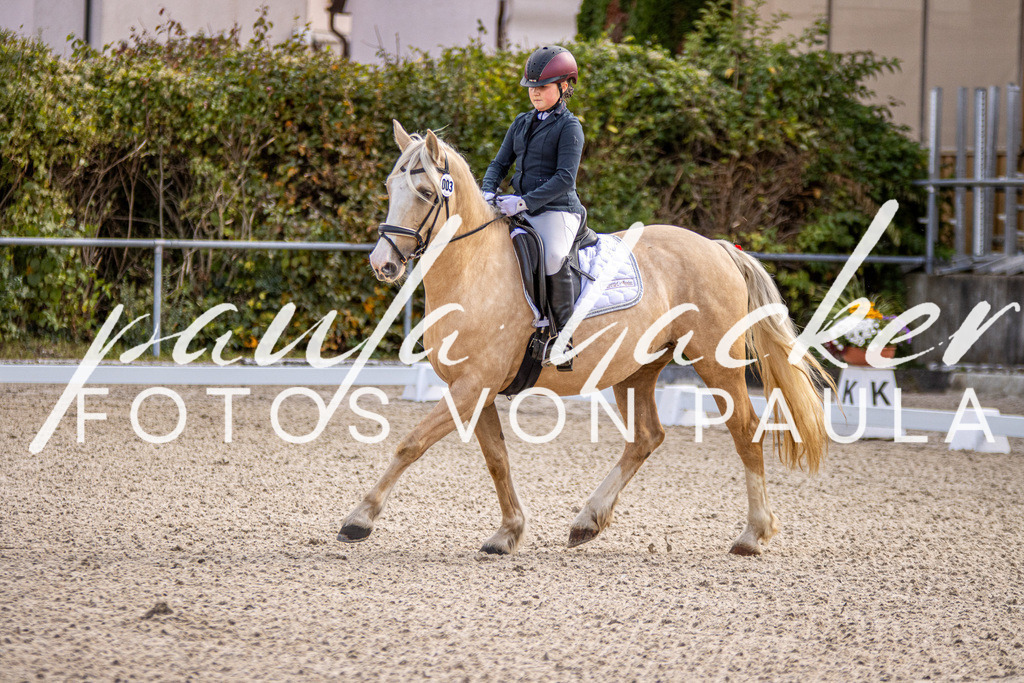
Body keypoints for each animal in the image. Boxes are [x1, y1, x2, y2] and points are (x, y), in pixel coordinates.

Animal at [337, 120, 831, 556]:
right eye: (389, 188)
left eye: (424, 193)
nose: (383, 264)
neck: (473, 269)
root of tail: (717, 247)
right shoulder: (474, 388)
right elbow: (497, 459)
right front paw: (509, 533)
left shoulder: (473, 385)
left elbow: (411, 443)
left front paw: (359, 519)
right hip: (636, 370)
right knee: (646, 437)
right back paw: (587, 522)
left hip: (715, 361)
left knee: (745, 430)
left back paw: (753, 535)